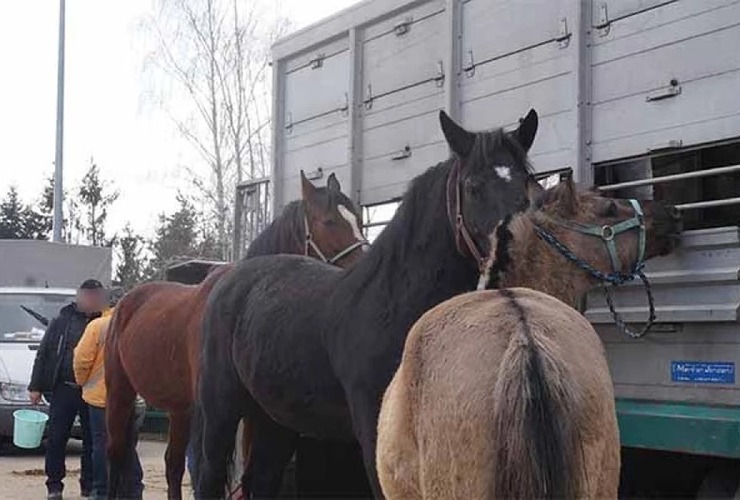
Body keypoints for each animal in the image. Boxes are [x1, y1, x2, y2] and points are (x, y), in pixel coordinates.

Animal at [105, 173, 368, 500]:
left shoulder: (257, 415)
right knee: (116, 454)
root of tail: (125, 302)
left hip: (180, 410)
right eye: (329, 221)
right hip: (120, 393)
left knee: (172, 465)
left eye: (359, 219)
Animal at [192, 107, 544, 498]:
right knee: (208, 476)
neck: (394, 303)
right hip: (221, 409)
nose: (519, 250)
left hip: (276, 417)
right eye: (472, 186)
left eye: (527, 182)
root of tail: (230, 279)